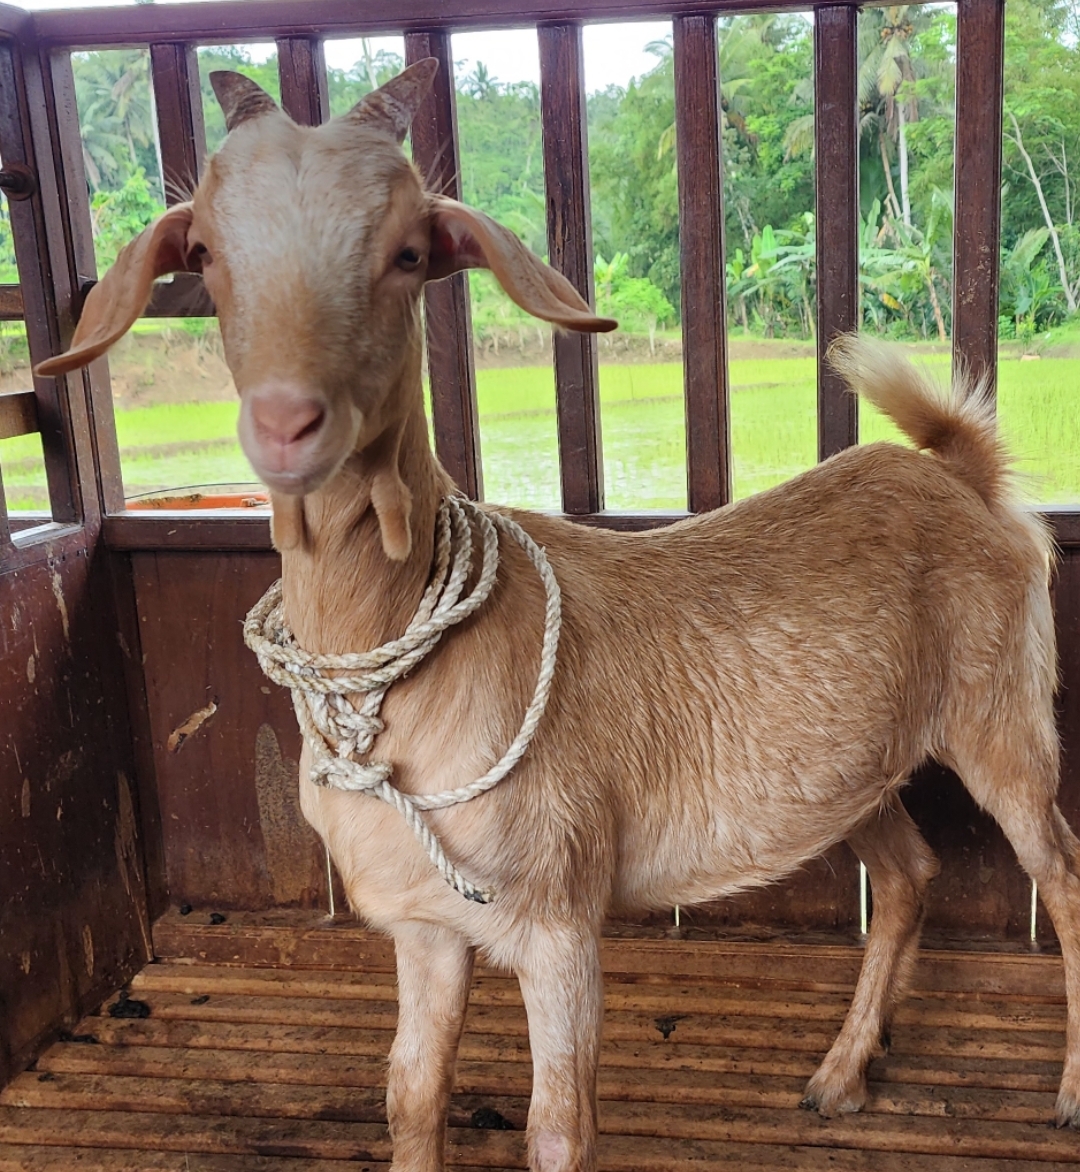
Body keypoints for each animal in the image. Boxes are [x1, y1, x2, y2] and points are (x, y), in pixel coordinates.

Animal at [38, 60, 1080, 1172]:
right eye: (204, 252)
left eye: (410, 251)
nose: (286, 422)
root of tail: (962, 471)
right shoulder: (426, 924)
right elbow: (412, 1092)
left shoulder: (558, 913)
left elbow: (558, 1130)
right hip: (854, 767)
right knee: (911, 870)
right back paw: (839, 1074)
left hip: (1003, 715)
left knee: (1058, 872)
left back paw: (1062, 1088)